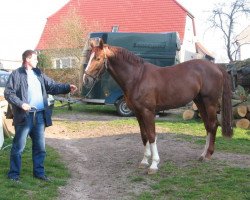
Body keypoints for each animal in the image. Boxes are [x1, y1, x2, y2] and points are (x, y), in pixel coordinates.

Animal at [83, 38, 233, 174]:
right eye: (89, 57)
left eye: (97, 58)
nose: (86, 80)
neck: (137, 77)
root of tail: (217, 67)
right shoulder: (138, 113)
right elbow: (144, 135)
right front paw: (144, 161)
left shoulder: (148, 112)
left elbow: (151, 135)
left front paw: (154, 164)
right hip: (200, 102)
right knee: (207, 126)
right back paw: (202, 154)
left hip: (210, 102)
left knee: (213, 125)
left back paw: (208, 155)